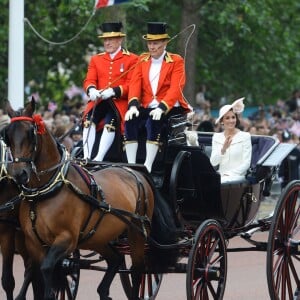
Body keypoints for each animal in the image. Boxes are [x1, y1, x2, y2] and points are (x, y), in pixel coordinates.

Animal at [3, 99, 178, 300]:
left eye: (30, 134)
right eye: (7, 135)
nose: (19, 174)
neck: (45, 192)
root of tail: (136, 170)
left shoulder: (67, 239)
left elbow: (47, 268)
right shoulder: (33, 243)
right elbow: (38, 271)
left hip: (137, 234)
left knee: (137, 270)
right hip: (98, 236)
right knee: (116, 259)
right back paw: (103, 292)